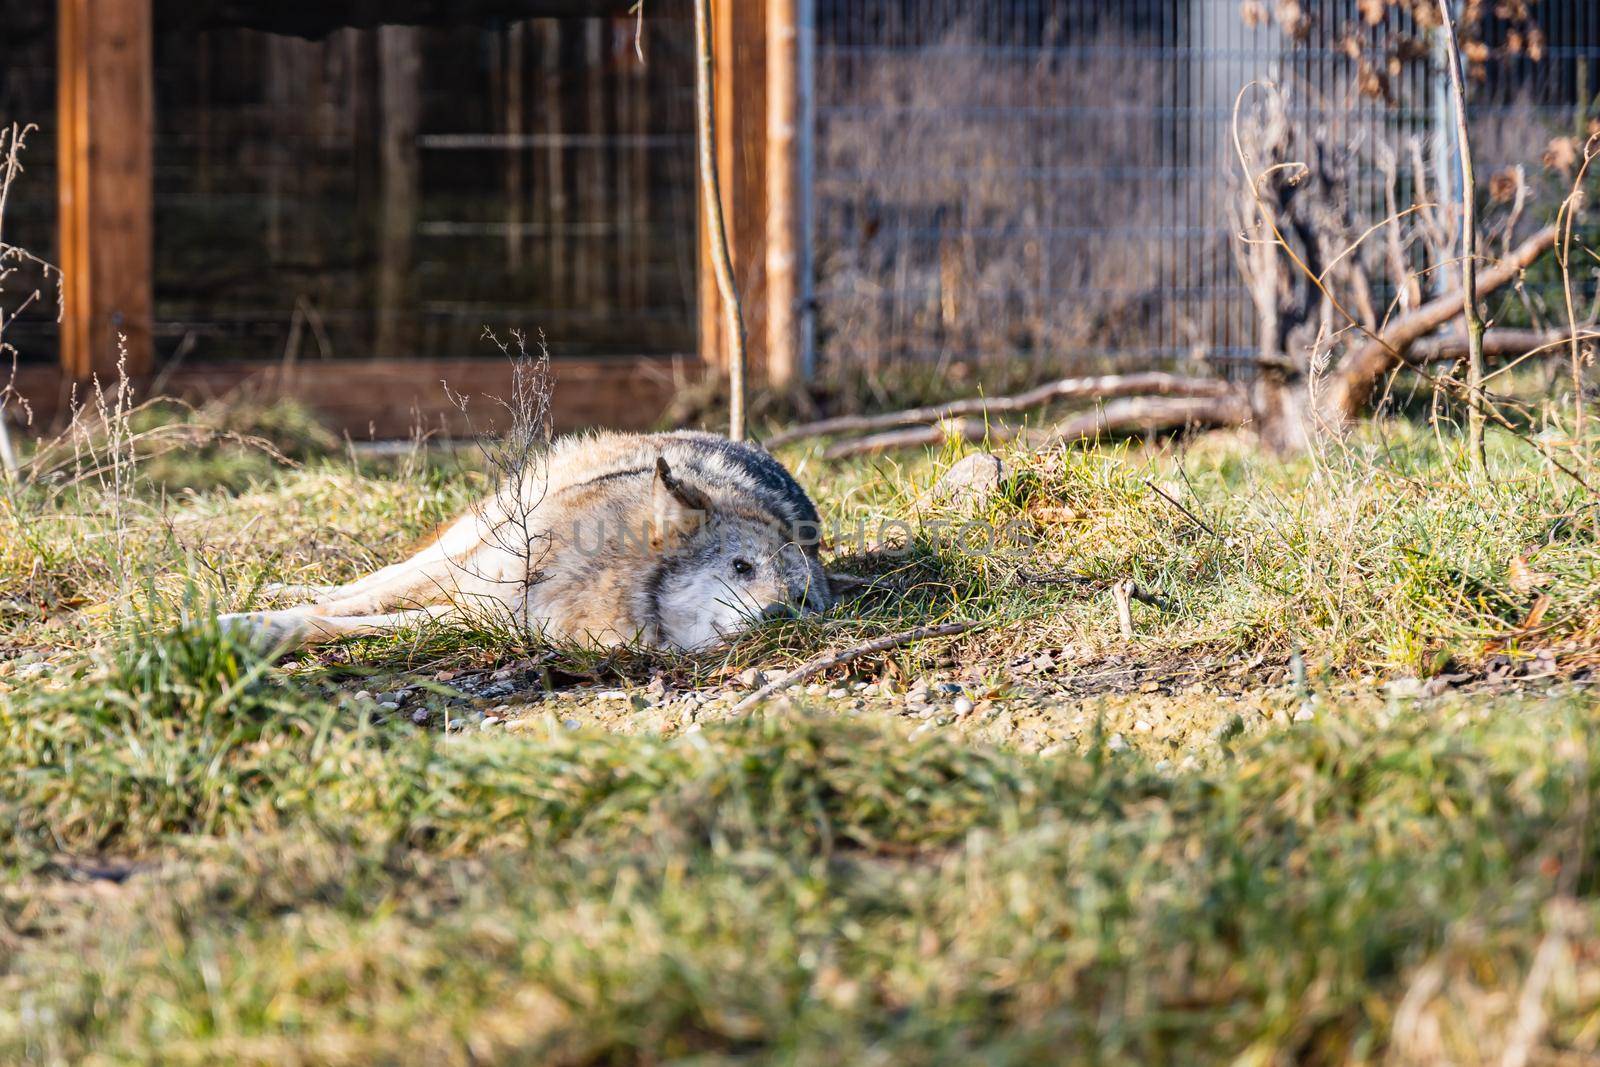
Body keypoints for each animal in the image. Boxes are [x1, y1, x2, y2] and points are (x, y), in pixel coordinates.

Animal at [219, 431, 832, 652]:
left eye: (802, 601)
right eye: (742, 567)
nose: (780, 617)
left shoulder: (490, 616)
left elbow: (335, 623)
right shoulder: (479, 586)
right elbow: (328, 612)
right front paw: (239, 623)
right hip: (468, 544)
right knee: (375, 578)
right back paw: (279, 587)